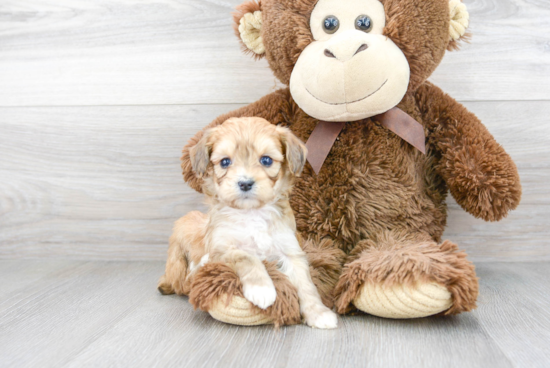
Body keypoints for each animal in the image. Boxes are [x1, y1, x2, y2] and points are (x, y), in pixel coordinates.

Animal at [160, 116, 338, 330]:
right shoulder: (221, 248)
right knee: (182, 279)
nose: (245, 183)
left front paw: (318, 312)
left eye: (266, 160)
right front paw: (262, 288)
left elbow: (306, 283)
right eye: (225, 162)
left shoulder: (290, 250)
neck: (252, 213)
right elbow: (246, 256)